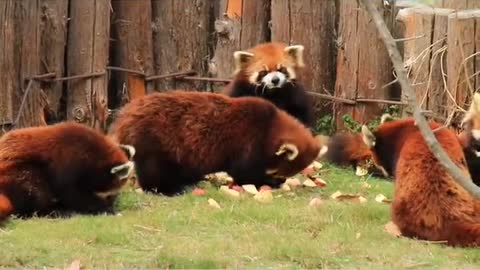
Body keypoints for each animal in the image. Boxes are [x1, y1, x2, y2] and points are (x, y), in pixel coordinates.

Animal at [0, 121, 135, 223]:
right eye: (109, 194)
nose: (112, 202)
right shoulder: (68, 164)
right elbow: (72, 194)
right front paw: (104, 208)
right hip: (19, 171)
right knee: (34, 191)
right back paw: (55, 211)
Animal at [109, 90, 326, 194]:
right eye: (276, 172)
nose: (280, 180)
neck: (270, 126)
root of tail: (126, 115)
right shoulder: (248, 142)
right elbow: (244, 173)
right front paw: (265, 183)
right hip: (155, 141)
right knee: (154, 171)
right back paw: (167, 190)